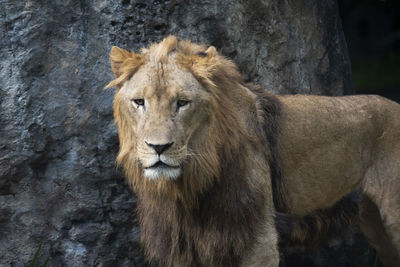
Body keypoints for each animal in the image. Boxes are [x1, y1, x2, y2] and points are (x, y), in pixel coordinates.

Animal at [106, 36, 400, 267]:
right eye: (139, 102)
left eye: (182, 103)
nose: (159, 147)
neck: (189, 184)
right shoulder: (183, 247)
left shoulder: (258, 239)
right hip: (374, 224)